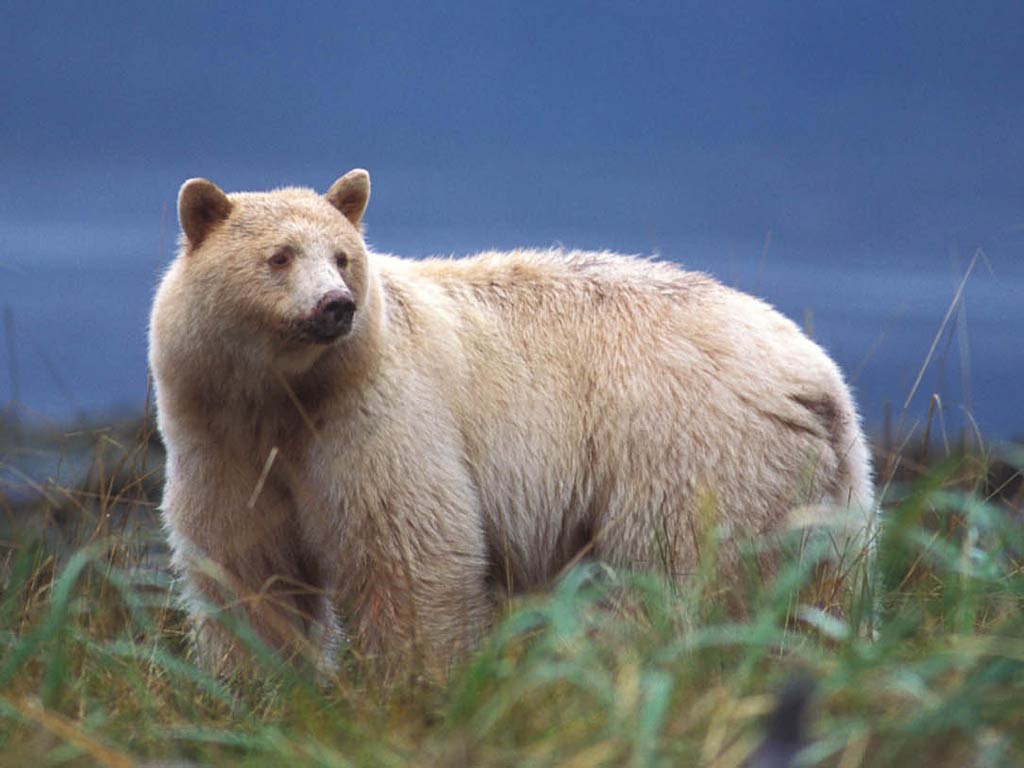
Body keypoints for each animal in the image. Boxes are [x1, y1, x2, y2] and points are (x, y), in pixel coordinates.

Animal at [149, 169, 874, 676]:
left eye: (343, 256)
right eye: (280, 256)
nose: (336, 306)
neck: (286, 394)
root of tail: (816, 379)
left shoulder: (374, 423)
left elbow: (409, 557)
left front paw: (411, 685)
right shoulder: (223, 442)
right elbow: (245, 572)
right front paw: (260, 686)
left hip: (692, 451)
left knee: (679, 577)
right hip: (828, 489)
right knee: (827, 592)